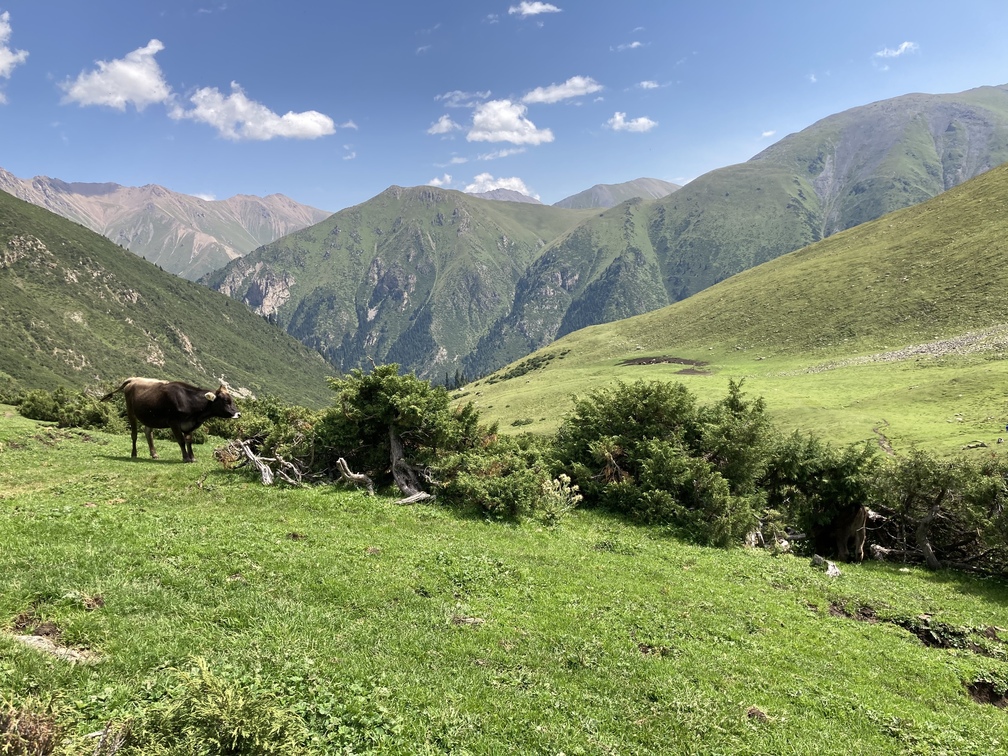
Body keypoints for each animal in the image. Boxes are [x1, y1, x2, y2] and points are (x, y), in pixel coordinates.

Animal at [101, 376, 239, 461]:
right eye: (226, 401)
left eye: (231, 400)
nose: (238, 414)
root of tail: (133, 379)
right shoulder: (173, 422)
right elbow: (181, 440)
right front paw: (185, 458)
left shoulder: (189, 424)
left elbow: (189, 441)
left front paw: (192, 457)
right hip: (131, 413)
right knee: (134, 435)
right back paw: (134, 454)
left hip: (149, 416)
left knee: (148, 433)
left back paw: (154, 454)